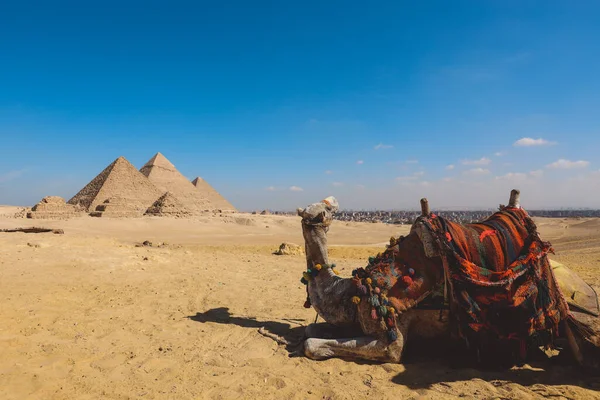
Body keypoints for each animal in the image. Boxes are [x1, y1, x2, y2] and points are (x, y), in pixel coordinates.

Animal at [296, 192, 600, 368]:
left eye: (326, 209)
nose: (333, 199)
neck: (350, 291)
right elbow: (310, 331)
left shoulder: (391, 338)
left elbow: (311, 345)